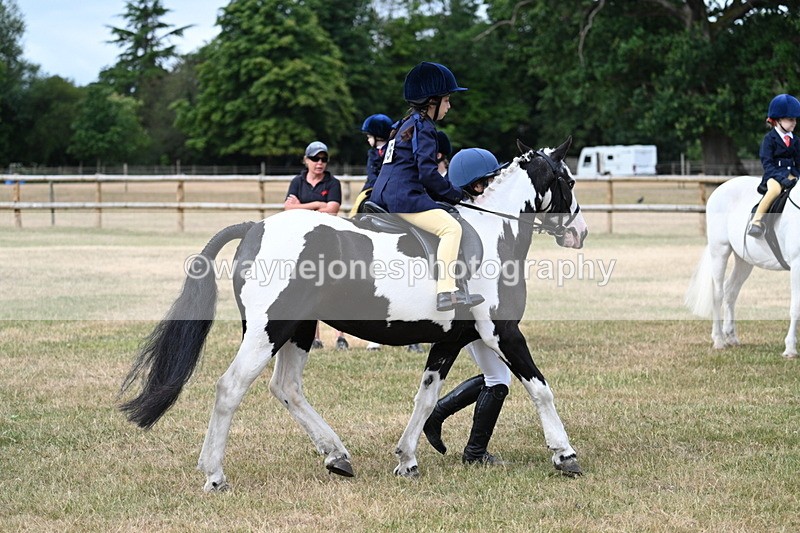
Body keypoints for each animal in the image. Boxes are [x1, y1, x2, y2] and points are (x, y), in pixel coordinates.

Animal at [119, 137, 589, 491]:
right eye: (568, 179)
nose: (580, 233)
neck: (494, 232)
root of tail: (255, 227)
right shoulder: (503, 332)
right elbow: (540, 388)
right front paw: (565, 454)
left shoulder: (451, 339)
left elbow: (427, 396)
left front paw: (407, 458)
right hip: (268, 330)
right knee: (230, 388)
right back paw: (215, 475)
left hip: (297, 330)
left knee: (286, 387)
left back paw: (337, 455)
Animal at [686, 175, 800, 358]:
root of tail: (722, 187)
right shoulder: (797, 265)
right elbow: (796, 307)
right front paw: (790, 349)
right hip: (720, 251)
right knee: (718, 293)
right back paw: (719, 340)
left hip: (744, 260)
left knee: (730, 291)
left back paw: (731, 337)